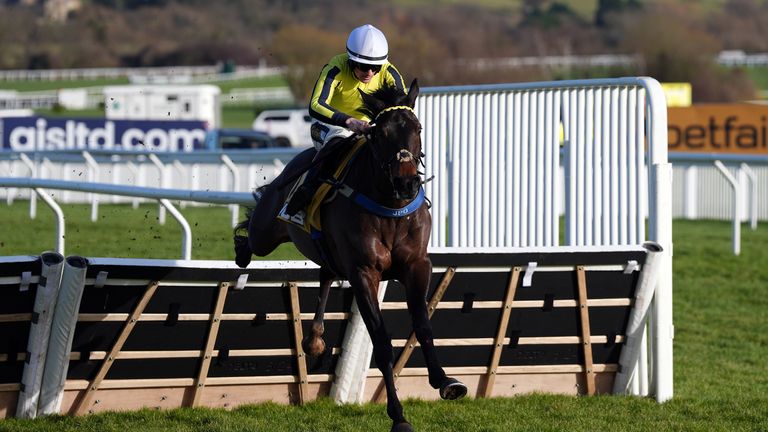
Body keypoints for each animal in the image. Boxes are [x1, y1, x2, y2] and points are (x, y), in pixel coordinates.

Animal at [231, 79, 464, 430]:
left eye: (418, 128)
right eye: (379, 133)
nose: (407, 182)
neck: (390, 205)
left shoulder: (417, 265)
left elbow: (423, 326)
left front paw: (445, 381)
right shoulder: (364, 272)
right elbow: (380, 342)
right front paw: (398, 415)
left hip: (328, 253)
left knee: (326, 272)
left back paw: (314, 338)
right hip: (267, 232)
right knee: (254, 238)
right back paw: (241, 249)